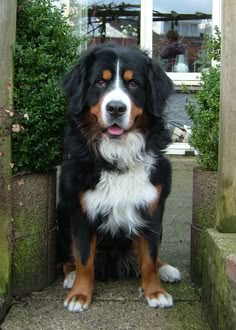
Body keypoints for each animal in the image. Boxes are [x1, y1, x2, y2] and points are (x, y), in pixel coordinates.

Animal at [57, 42, 181, 314]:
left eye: (133, 83)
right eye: (100, 82)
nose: (115, 108)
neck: (117, 156)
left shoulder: (152, 209)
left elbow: (150, 257)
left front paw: (154, 292)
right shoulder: (80, 210)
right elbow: (84, 257)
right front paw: (79, 294)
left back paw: (167, 269)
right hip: (62, 216)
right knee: (69, 258)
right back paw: (70, 276)